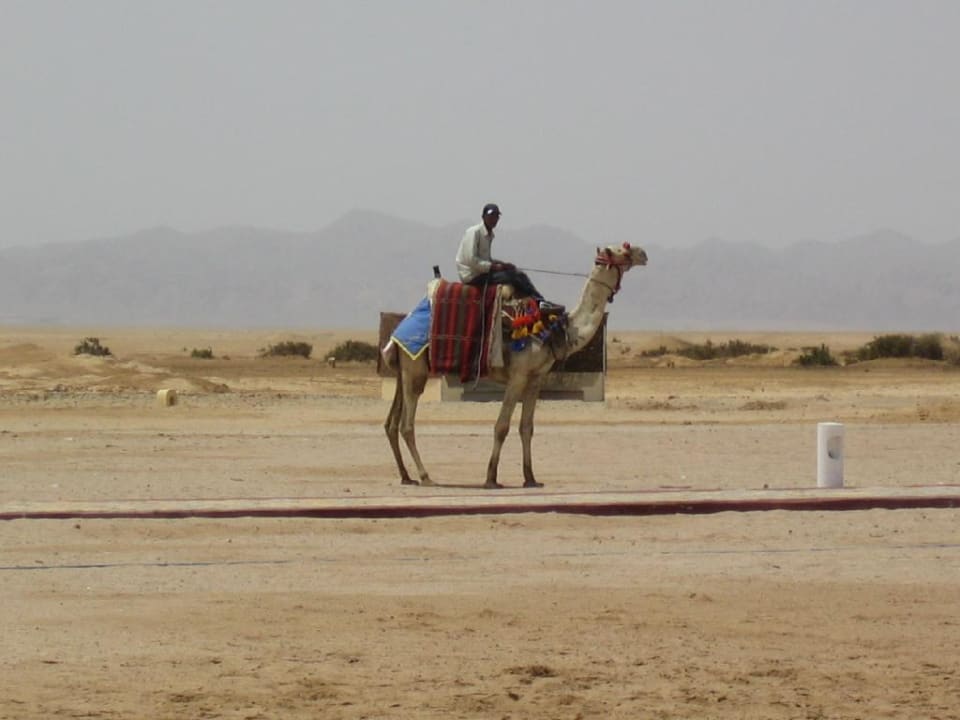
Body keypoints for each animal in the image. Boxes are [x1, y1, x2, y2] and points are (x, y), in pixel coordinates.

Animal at [384, 242, 648, 488]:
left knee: (391, 423)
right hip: (415, 369)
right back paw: (425, 476)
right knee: (407, 425)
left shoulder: (536, 378)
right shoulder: (518, 376)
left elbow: (526, 427)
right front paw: (491, 479)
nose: (643, 254)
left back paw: (406, 476)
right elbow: (501, 426)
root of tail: (397, 333)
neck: (557, 329)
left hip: (403, 371)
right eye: (621, 251)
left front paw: (531, 478)